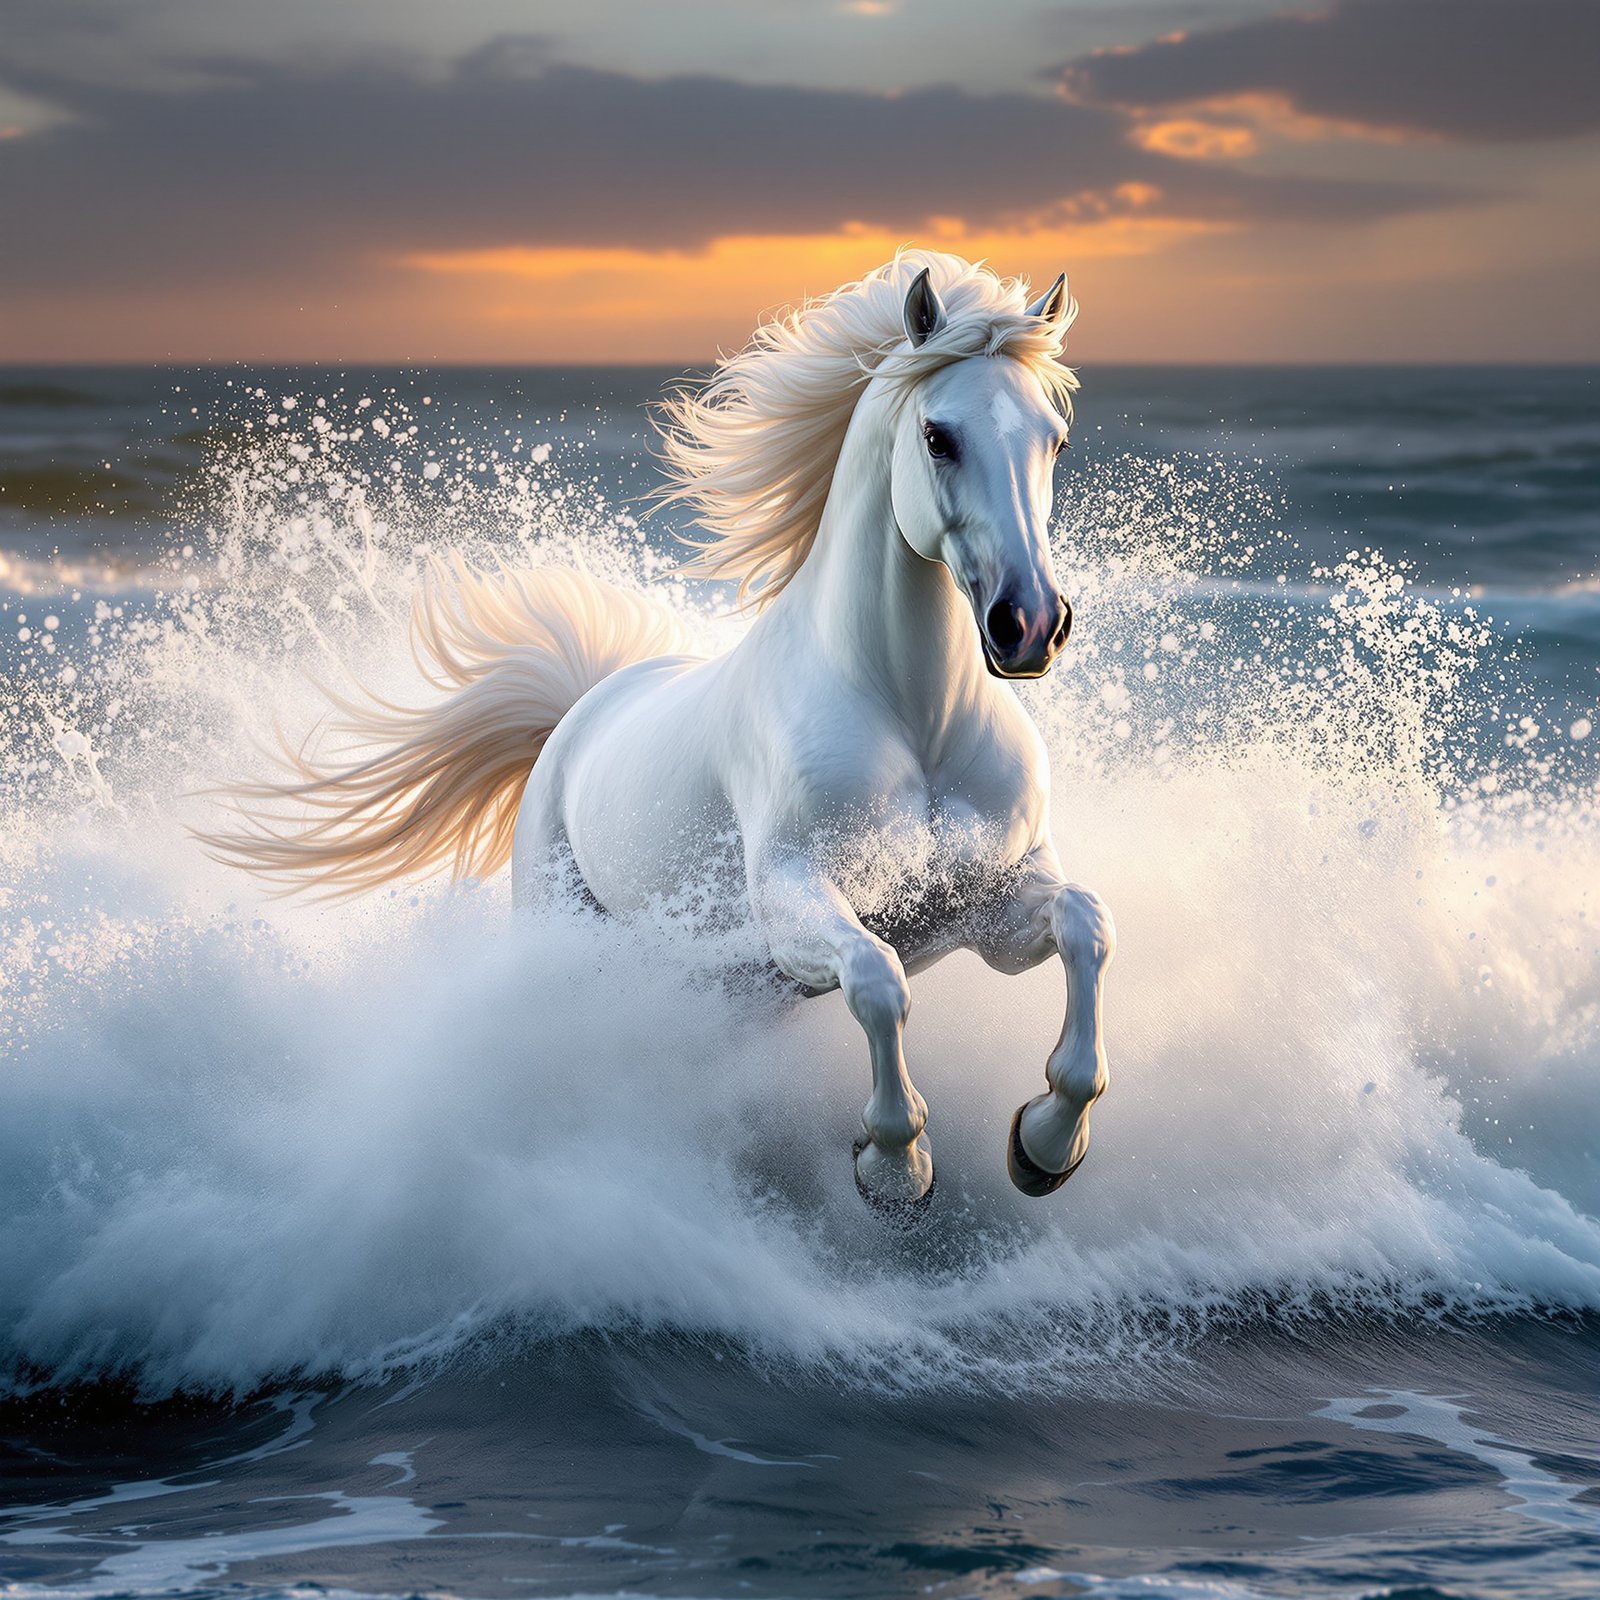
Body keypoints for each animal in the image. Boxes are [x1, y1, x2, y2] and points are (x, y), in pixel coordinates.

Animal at [203, 251, 1116, 1220]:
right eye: (939, 437)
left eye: (1056, 440)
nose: (1031, 625)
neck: (915, 721)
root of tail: (582, 713)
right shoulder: (794, 902)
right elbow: (877, 983)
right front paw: (893, 1165)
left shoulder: (989, 909)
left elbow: (1087, 927)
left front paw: (1045, 1143)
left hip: (726, 993)